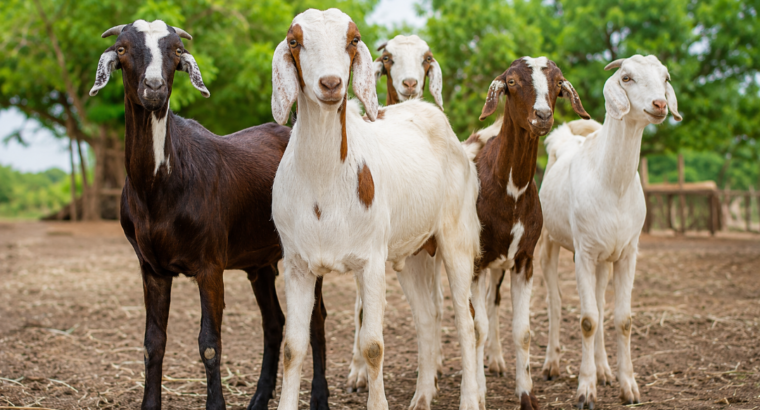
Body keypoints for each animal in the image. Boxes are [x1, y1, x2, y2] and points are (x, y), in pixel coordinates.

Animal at [89, 20, 329, 410]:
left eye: (175, 51)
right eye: (122, 49)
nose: (154, 88)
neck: (159, 187)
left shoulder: (210, 264)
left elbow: (210, 343)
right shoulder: (151, 267)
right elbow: (153, 342)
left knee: (316, 319)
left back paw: (320, 398)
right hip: (260, 260)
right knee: (273, 322)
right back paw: (259, 398)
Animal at [270, 9, 482, 410]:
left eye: (353, 40)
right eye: (294, 41)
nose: (331, 83)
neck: (324, 184)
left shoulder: (370, 260)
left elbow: (373, 345)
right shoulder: (297, 263)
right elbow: (292, 347)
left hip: (456, 237)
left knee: (467, 322)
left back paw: (470, 399)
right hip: (414, 252)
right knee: (427, 317)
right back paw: (422, 395)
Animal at [466, 57, 590, 410]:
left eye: (559, 83)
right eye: (511, 81)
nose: (542, 116)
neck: (510, 189)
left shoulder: (523, 259)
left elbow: (522, 331)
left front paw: (527, 395)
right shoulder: (476, 261)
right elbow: (476, 328)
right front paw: (478, 395)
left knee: (492, 303)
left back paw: (495, 361)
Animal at [538, 55, 682, 408]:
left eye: (666, 78)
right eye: (627, 77)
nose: (660, 104)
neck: (612, 183)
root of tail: (566, 139)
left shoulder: (628, 251)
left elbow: (621, 318)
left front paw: (628, 386)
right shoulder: (584, 253)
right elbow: (588, 320)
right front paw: (585, 390)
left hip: (605, 256)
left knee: (601, 304)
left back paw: (603, 370)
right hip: (549, 242)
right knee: (555, 300)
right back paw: (551, 365)